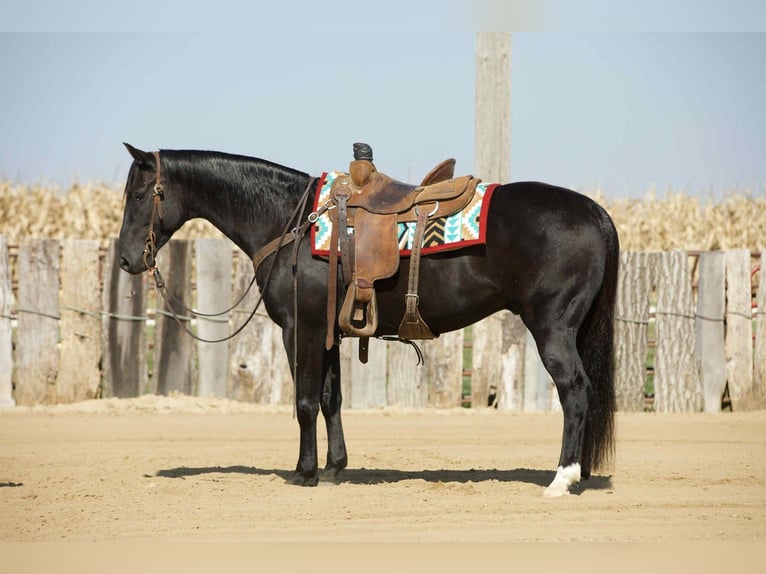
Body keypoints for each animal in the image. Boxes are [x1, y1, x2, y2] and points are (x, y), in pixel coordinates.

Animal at [117, 143, 619, 497]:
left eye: (140, 193)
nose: (126, 259)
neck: (289, 221)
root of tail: (594, 211)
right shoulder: (331, 334)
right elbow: (331, 400)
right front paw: (335, 467)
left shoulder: (302, 330)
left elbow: (304, 402)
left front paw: (304, 473)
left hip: (553, 329)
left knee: (575, 391)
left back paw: (562, 478)